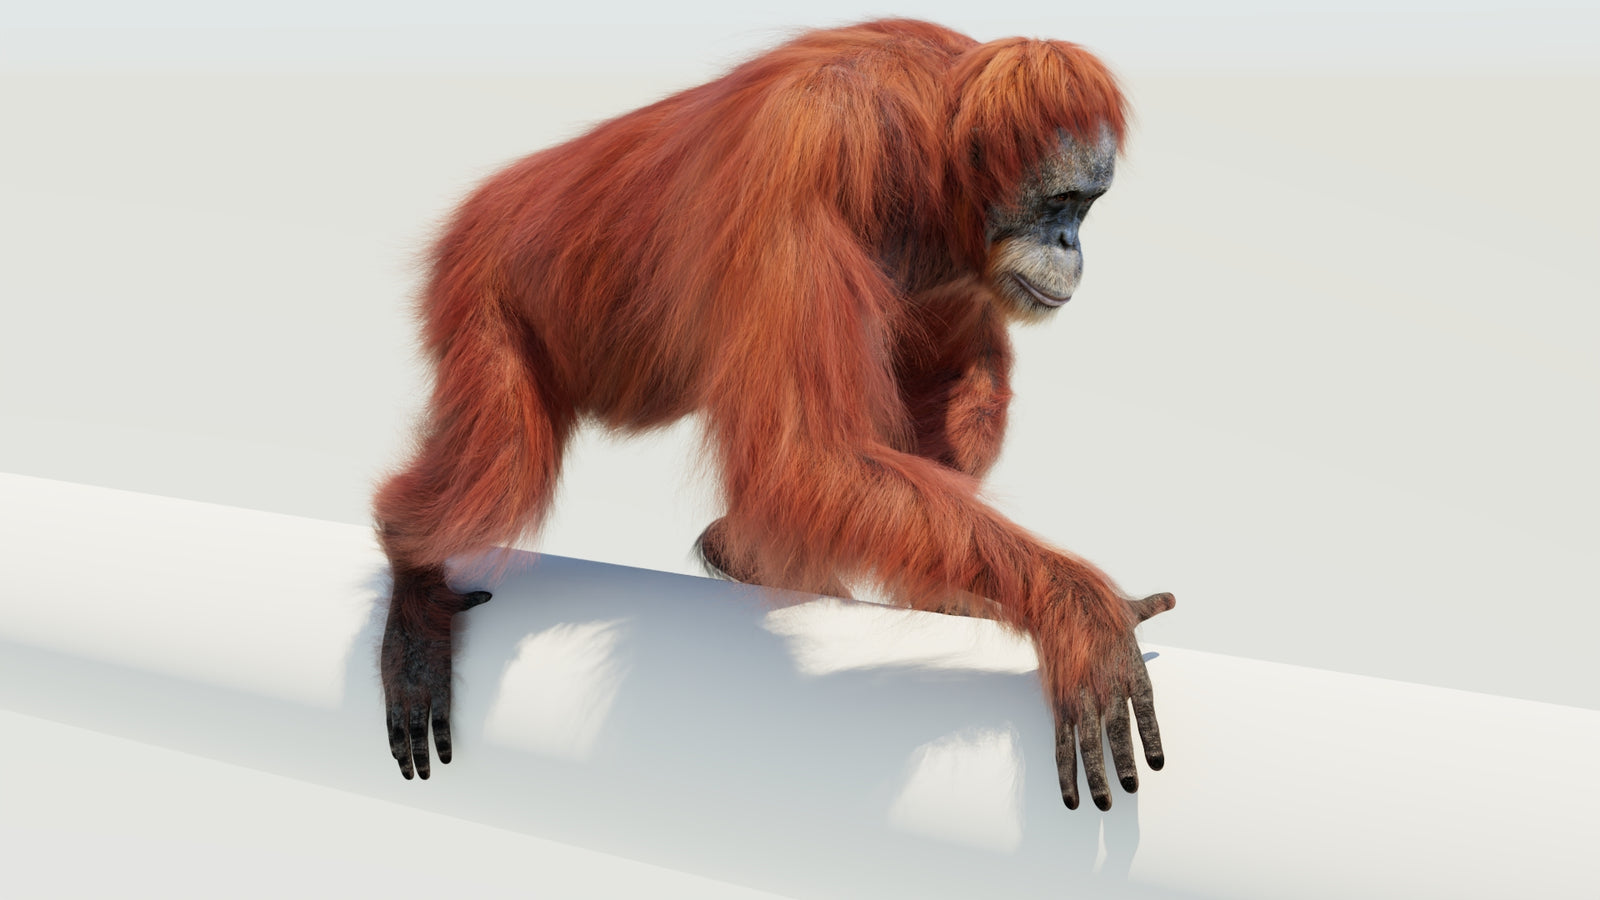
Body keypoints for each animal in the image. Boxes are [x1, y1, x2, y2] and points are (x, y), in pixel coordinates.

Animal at [374, 18, 1174, 813]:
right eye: (1060, 202)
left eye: (1086, 207)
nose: (1071, 244)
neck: (928, 138)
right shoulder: (807, 154)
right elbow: (804, 457)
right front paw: (1079, 613)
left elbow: (958, 378)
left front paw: (953, 597)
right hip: (479, 285)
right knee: (502, 471)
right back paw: (412, 572)